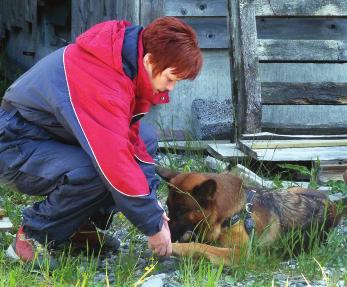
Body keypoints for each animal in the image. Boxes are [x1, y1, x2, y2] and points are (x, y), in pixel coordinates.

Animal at [157, 168, 346, 266]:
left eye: (182, 211)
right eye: (168, 208)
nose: (168, 236)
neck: (233, 213)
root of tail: (334, 205)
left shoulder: (240, 253)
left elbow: (200, 246)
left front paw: (177, 246)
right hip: (290, 189)